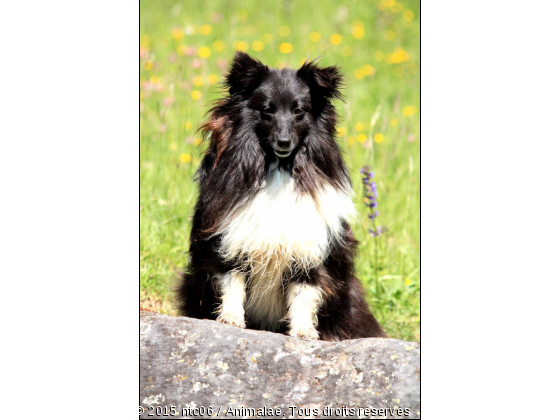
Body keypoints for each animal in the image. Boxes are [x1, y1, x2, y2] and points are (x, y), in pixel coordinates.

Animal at [177, 51, 388, 342]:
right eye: (267, 110)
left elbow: (304, 294)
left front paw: (303, 331)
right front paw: (230, 318)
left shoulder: (310, 251)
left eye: (299, 111)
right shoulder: (228, 240)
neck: (279, 167)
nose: (284, 142)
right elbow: (232, 282)